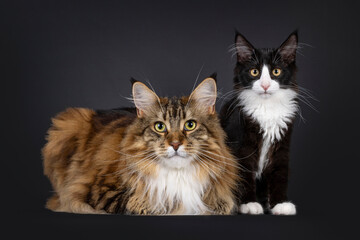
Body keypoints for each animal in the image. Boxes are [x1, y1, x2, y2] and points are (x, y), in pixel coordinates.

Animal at [43, 78, 239, 215]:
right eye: (159, 127)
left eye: (190, 125)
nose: (175, 144)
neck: (177, 174)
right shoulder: (101, 190)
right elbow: (160, 202)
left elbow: (224, 204)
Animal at [221, 30, 300, 216]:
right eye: (254, 72)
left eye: (276, 72)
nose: (265, 85)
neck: (267, 108)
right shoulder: (242, 146)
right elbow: (243, 174)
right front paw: (249, 203)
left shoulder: (282, 145)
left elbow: (280, 175)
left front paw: (280, 204)